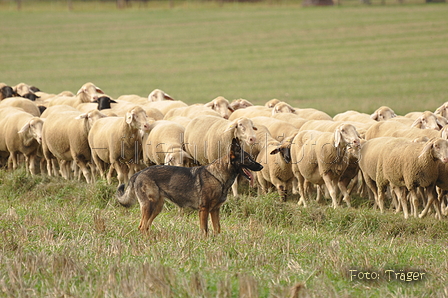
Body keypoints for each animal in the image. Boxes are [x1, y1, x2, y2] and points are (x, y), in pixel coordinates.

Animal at [117, 139, 262, 236]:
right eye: (248, 159)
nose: (261, 166)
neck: (218, 177)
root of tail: (139, 173)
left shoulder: (215, 210)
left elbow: (217, 229)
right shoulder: (204, 210)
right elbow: (205, 230)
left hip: (157, 207)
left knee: (145, 226)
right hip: (150, 206)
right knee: (142, 227)